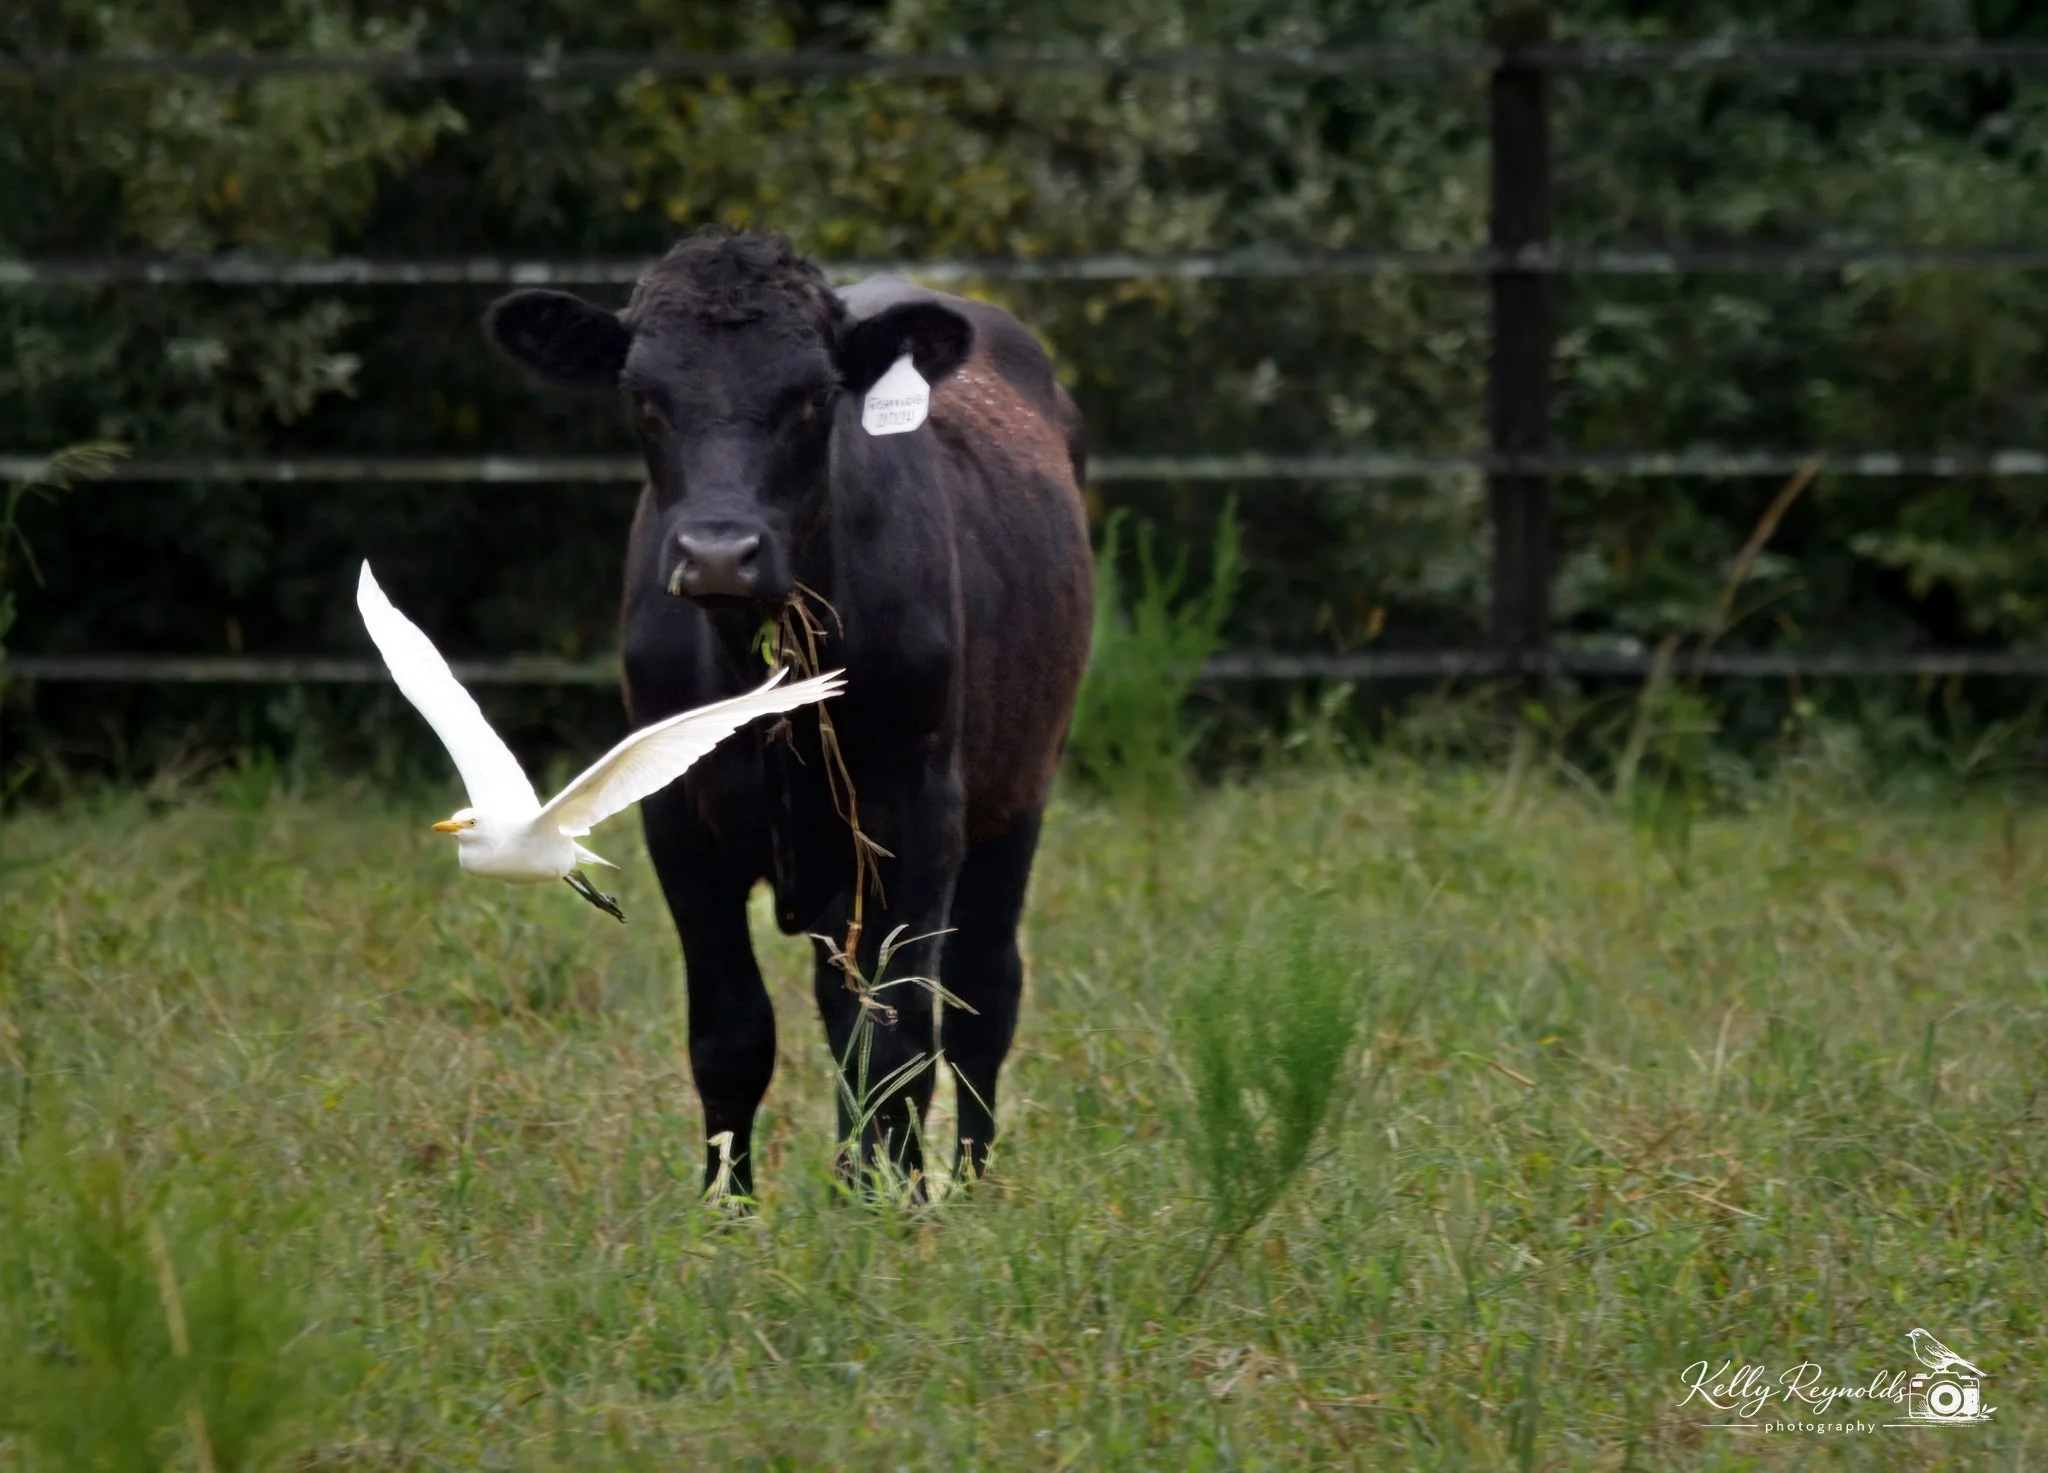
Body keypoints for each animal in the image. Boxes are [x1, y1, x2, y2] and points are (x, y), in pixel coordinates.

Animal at [483, 228, 1092, 1197]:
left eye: (812, 397)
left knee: (983, 992)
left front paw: (892, 1205)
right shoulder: (679, 822)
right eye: (643, 397)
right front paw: (727, 1210)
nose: (718, 553)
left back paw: (967, 1184)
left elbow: (896, 1038)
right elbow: (733, 1033)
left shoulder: (918, 808)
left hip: (1021, 785)